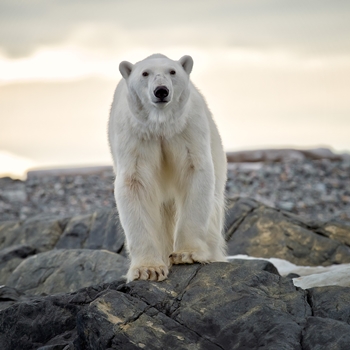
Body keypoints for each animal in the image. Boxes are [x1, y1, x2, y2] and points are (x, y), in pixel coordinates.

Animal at [108, 54, 227, 282]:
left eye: (172, 71)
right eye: (145, 73)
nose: (161, 91)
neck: (161, 126)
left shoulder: (187, 130)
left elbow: (194, 173)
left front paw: (187, 254)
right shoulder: (135, 136)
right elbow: (135, 184)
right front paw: (148, 269)